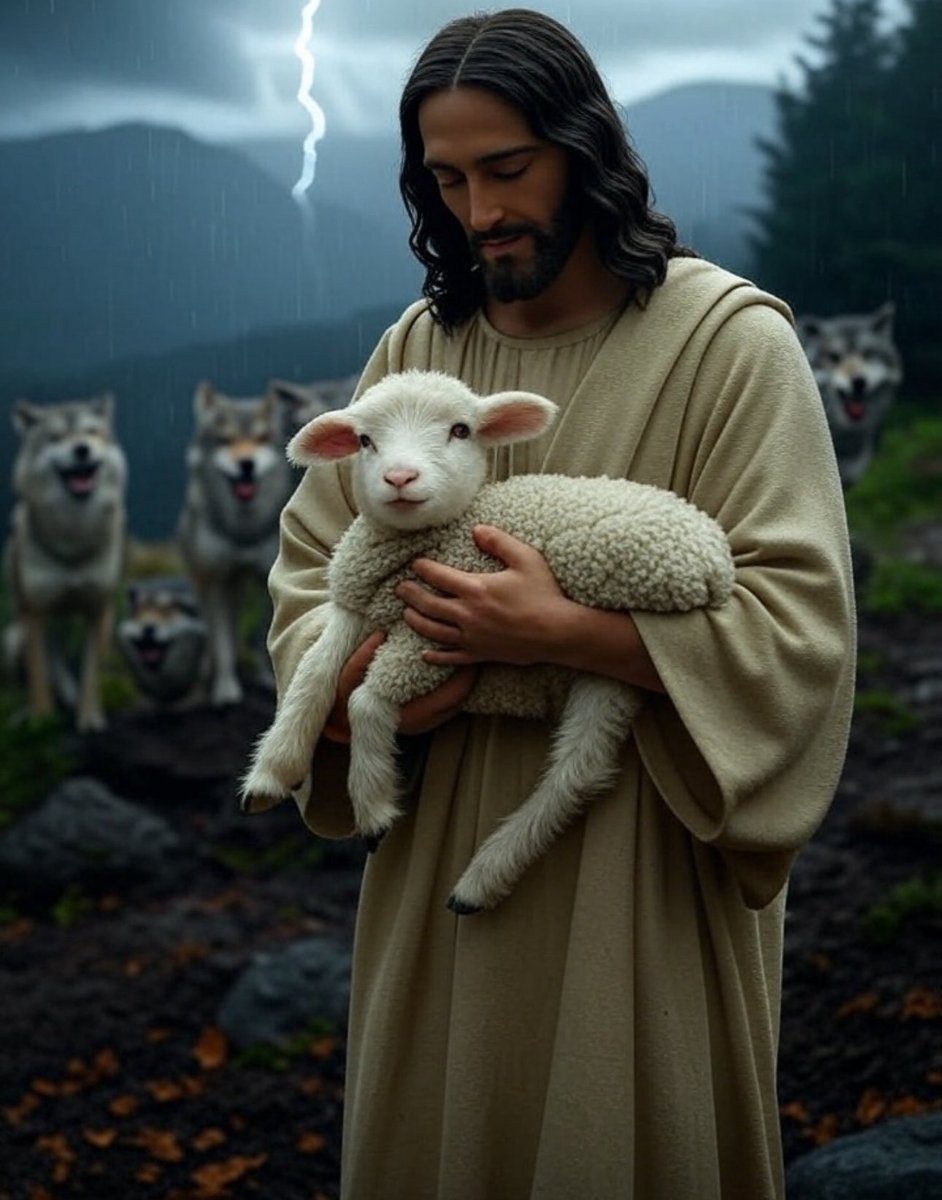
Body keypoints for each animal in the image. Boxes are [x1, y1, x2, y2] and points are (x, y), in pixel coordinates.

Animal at [241, 369, 735, 914]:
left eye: (460, 431)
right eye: (365, 440)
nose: (400, 478)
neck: (432, 538)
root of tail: (713, 553)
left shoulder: (430, 635)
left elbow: (364, 702)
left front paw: (374, 808)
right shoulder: (360, 605)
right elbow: (314, 670)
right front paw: (273, 769)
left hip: (621, 640)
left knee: (575, 768)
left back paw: (482, 874)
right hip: (610, 664)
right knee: (585, 768)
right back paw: (485, 878)